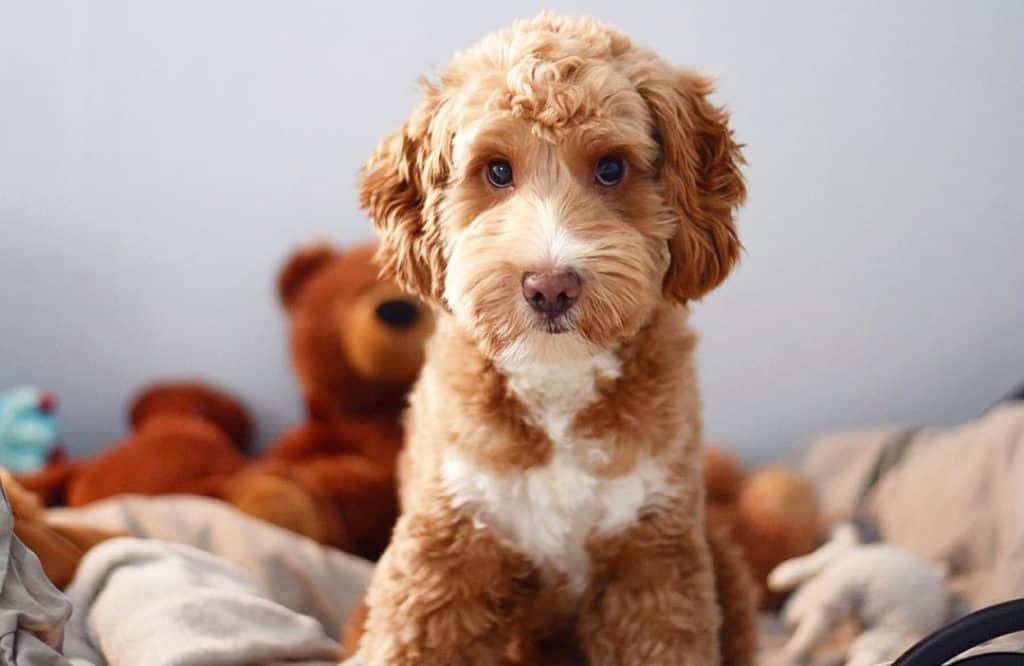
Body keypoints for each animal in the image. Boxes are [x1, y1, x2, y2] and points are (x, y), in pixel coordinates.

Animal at [348, 11, 757, 663]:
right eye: (496, 170)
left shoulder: (653, 561)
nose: (550, 287)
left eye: (611, 167)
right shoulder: (444, 551)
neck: (556, 380)